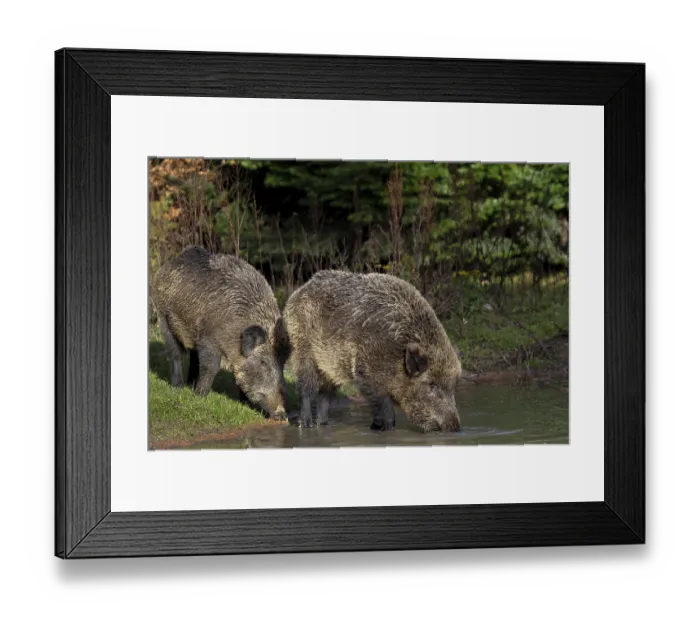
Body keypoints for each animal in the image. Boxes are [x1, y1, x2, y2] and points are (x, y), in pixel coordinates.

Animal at [150, 245, 290, 420]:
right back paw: (179, 387)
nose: (282, 414)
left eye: (283, 363)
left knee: (194, 357)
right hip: (163, 316)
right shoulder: (209, 339)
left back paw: (190, 384)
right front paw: (199, 397)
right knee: (175, 353)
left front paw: (245, 404)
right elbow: (211, 367)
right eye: (263, 362)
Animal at [283, 270, 463, 432]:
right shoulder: (367, 371)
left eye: (453, 386)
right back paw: (307, 425)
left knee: (325, 395)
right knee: (306, 388)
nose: (455, 427)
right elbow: (384, 406)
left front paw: (376, 426)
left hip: (330, 365)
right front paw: (385, 428)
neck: (397, 354)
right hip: (301, 348)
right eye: (431, 385)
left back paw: (325, 424)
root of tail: (298, 292)